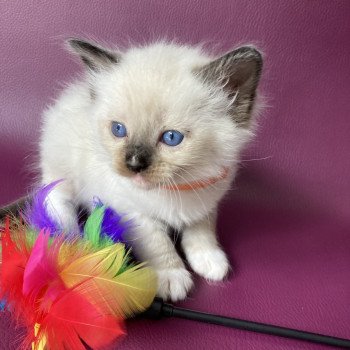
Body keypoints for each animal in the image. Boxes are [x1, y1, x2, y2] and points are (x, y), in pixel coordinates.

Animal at [39, 37, 262, 300]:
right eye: (118, 130)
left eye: (172, 138)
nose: (134, 164)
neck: (176, 190)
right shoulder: (131, 211)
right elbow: (157, 243)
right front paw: (171, 278)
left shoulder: (206, 200)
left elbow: (202, 232)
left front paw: (209, 261)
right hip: (63, 169)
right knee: (52, 195)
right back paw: (67, 234)